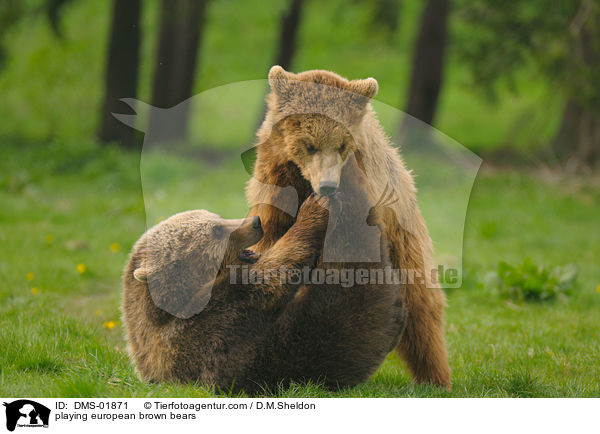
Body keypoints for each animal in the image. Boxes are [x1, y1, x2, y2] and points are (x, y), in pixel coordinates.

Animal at [122, 178, 406, 392]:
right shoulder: (213, 328)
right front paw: (313, 209)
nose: (255, 221)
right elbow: (271, 277)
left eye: (217, 216)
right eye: (217, 230)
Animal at [245, 67, 450, 386]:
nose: (328, 186)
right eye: (309, 144)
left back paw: (435, 377)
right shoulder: (276, 181)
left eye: (342, 144)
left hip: (404, 235)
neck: (303, 181)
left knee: (422, 308)